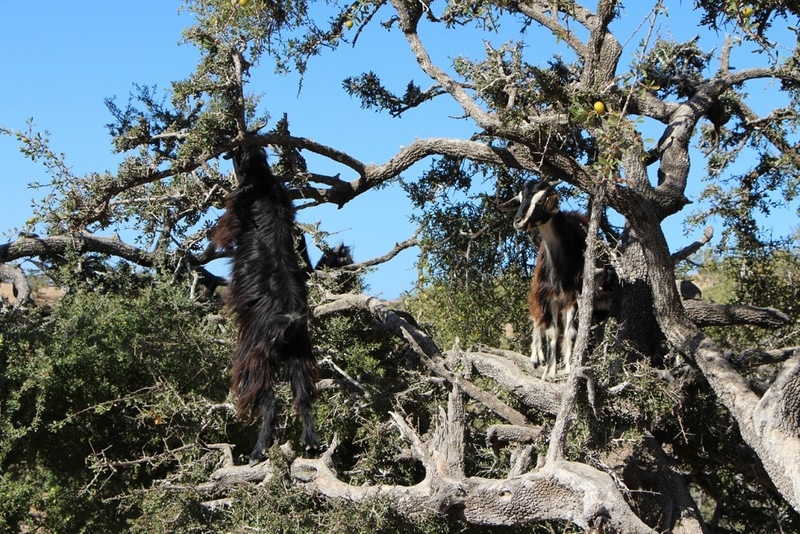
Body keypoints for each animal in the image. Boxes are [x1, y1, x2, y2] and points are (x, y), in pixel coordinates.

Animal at [212, 146, 318, 464]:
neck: (264, 181)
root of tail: (290, 322)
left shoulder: (236, 211)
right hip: (299, 354)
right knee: (303, 396)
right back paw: (311, 444)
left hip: (253, 356)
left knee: (269, 402)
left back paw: (258, 451)